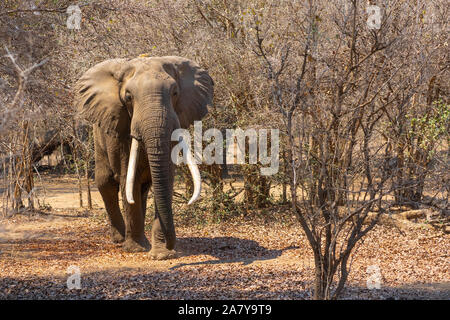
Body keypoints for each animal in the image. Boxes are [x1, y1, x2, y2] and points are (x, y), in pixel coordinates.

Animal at [74, 56, 214, 258]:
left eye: (175, 93)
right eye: (128, 97)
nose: (172, 246)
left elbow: (164, 180)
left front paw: (162, 255)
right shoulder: (123, 132)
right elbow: (128, 180)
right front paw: (136, 250)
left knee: (142, 188)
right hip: (99, 136)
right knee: (106, 182)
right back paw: (120, 240)